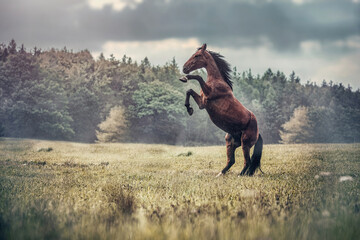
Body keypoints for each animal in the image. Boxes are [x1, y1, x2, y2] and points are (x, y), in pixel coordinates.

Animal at [179, 43, 262, 176]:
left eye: (197, 55)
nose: (184, 68)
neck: (216, 81)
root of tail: (258, 133)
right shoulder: (202, 103)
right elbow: (189, 91)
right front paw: (189, 109)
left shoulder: (208, 96)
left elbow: (198, 77)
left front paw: (185, 78)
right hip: (230, 142)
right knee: (231, 161)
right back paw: (220, 174)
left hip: (245, 143)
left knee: (247, 162)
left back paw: (240, 175)